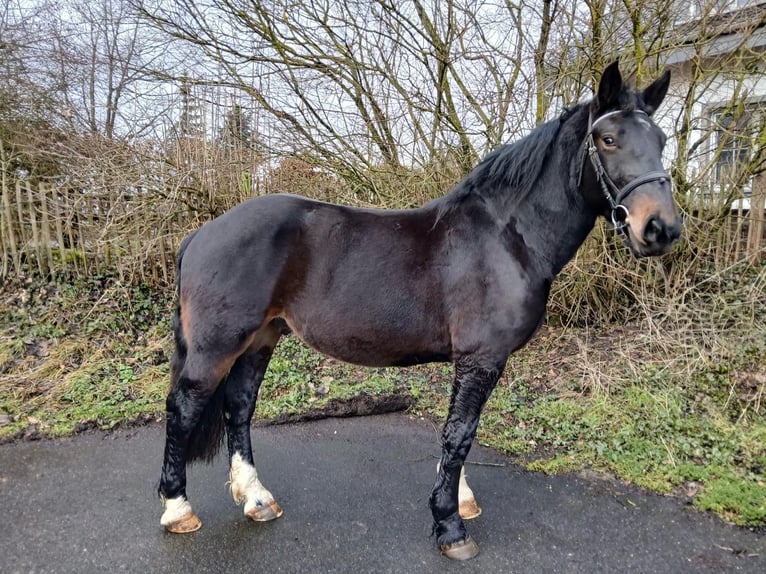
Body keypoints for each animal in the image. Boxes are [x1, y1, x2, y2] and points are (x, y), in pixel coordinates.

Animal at [157, 62, 681, 560]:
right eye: (609, 139)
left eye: (661, 140)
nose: (660, 228)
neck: (507, 238)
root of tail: (202, 233)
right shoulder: (481, 358)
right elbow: (459, 434)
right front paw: (450, 527)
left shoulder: (472, 361)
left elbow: (458, 433)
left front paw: (460, 500)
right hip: (218, 345)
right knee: (184, 408)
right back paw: (178, 508)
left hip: (261, 338)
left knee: (239, 406)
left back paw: (256, 499)